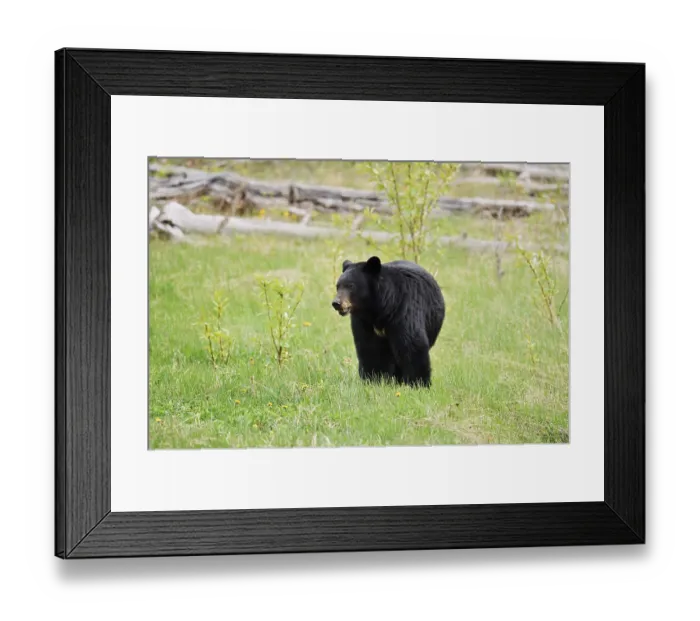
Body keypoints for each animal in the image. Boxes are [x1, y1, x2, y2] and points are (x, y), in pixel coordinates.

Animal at [332, 256, 445, 388]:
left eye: (351, 286)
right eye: (338, 286)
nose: (336, 303)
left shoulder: (404, 309)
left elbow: (412, 344)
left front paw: (418, 383)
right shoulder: (364, 322)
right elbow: (369, 348)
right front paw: (373, 379)